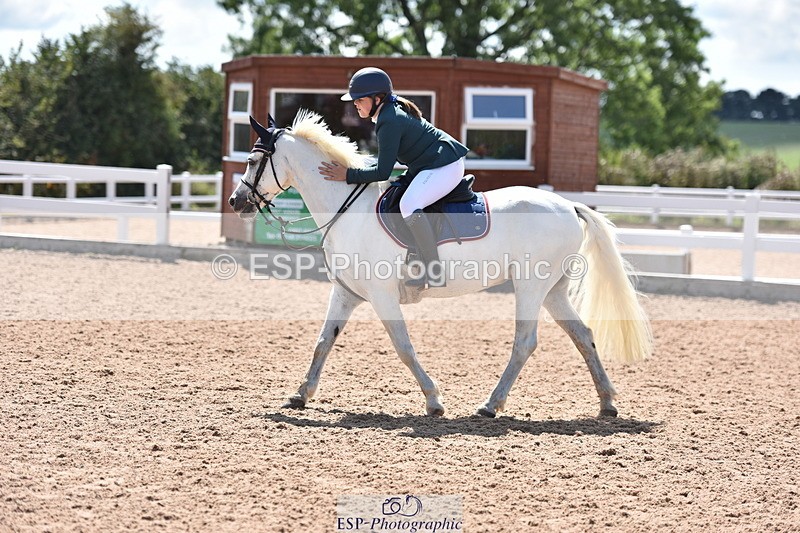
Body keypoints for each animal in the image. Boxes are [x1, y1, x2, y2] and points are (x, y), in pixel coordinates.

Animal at [228, 110, 652, 418]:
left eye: (250, 160)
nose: (236, 202)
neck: (349, 209)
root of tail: (568, 205)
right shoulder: (346, 293)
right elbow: (322, 343)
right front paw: (300, 395)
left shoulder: (382, 296)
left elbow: (403, 347)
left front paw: (433, 400)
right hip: (553, 290)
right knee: (583, 335)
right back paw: (607, 403)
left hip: (531, 286)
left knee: (525, 342)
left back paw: (490, 405)